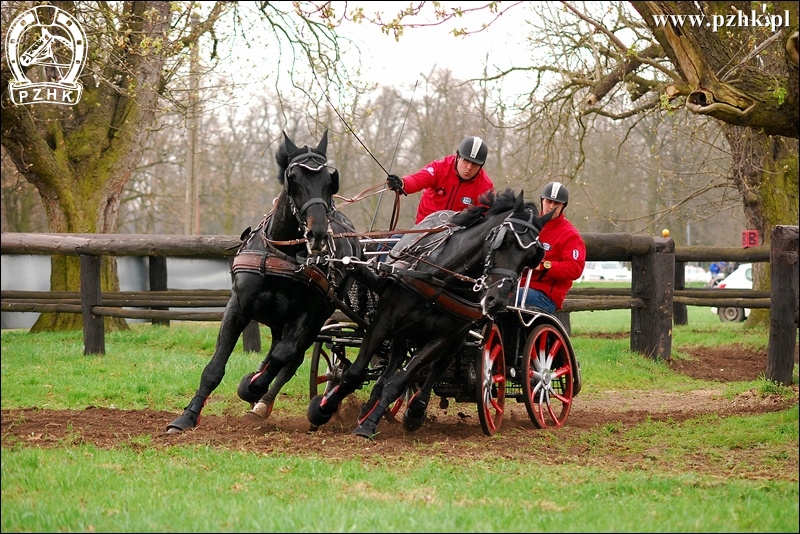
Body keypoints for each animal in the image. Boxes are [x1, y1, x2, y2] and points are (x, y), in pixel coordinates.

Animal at [166, 130, 378, 436]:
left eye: (330, 181)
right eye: (294, 179)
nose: (317, 234)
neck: (283, 254)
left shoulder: (305, 316)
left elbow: (282, 356)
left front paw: (251, 386)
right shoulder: (238, 307)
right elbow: (214, 368)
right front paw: (186, 418)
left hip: (317, 317)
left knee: (292, 356)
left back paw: (266, 400)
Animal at [306, 189, 552, 440]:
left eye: (532, 256)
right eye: (505, 240)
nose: (497, 300)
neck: (440, 279)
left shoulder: (441, 338)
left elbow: (401, 381)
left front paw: (369, 425)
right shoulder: (383, 321)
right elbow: (355, 372)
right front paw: (322, 409)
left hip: (457, 337)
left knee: (435, 368)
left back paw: (413, 410)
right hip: (404, 332)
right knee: (394, 361)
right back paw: (369, 405)